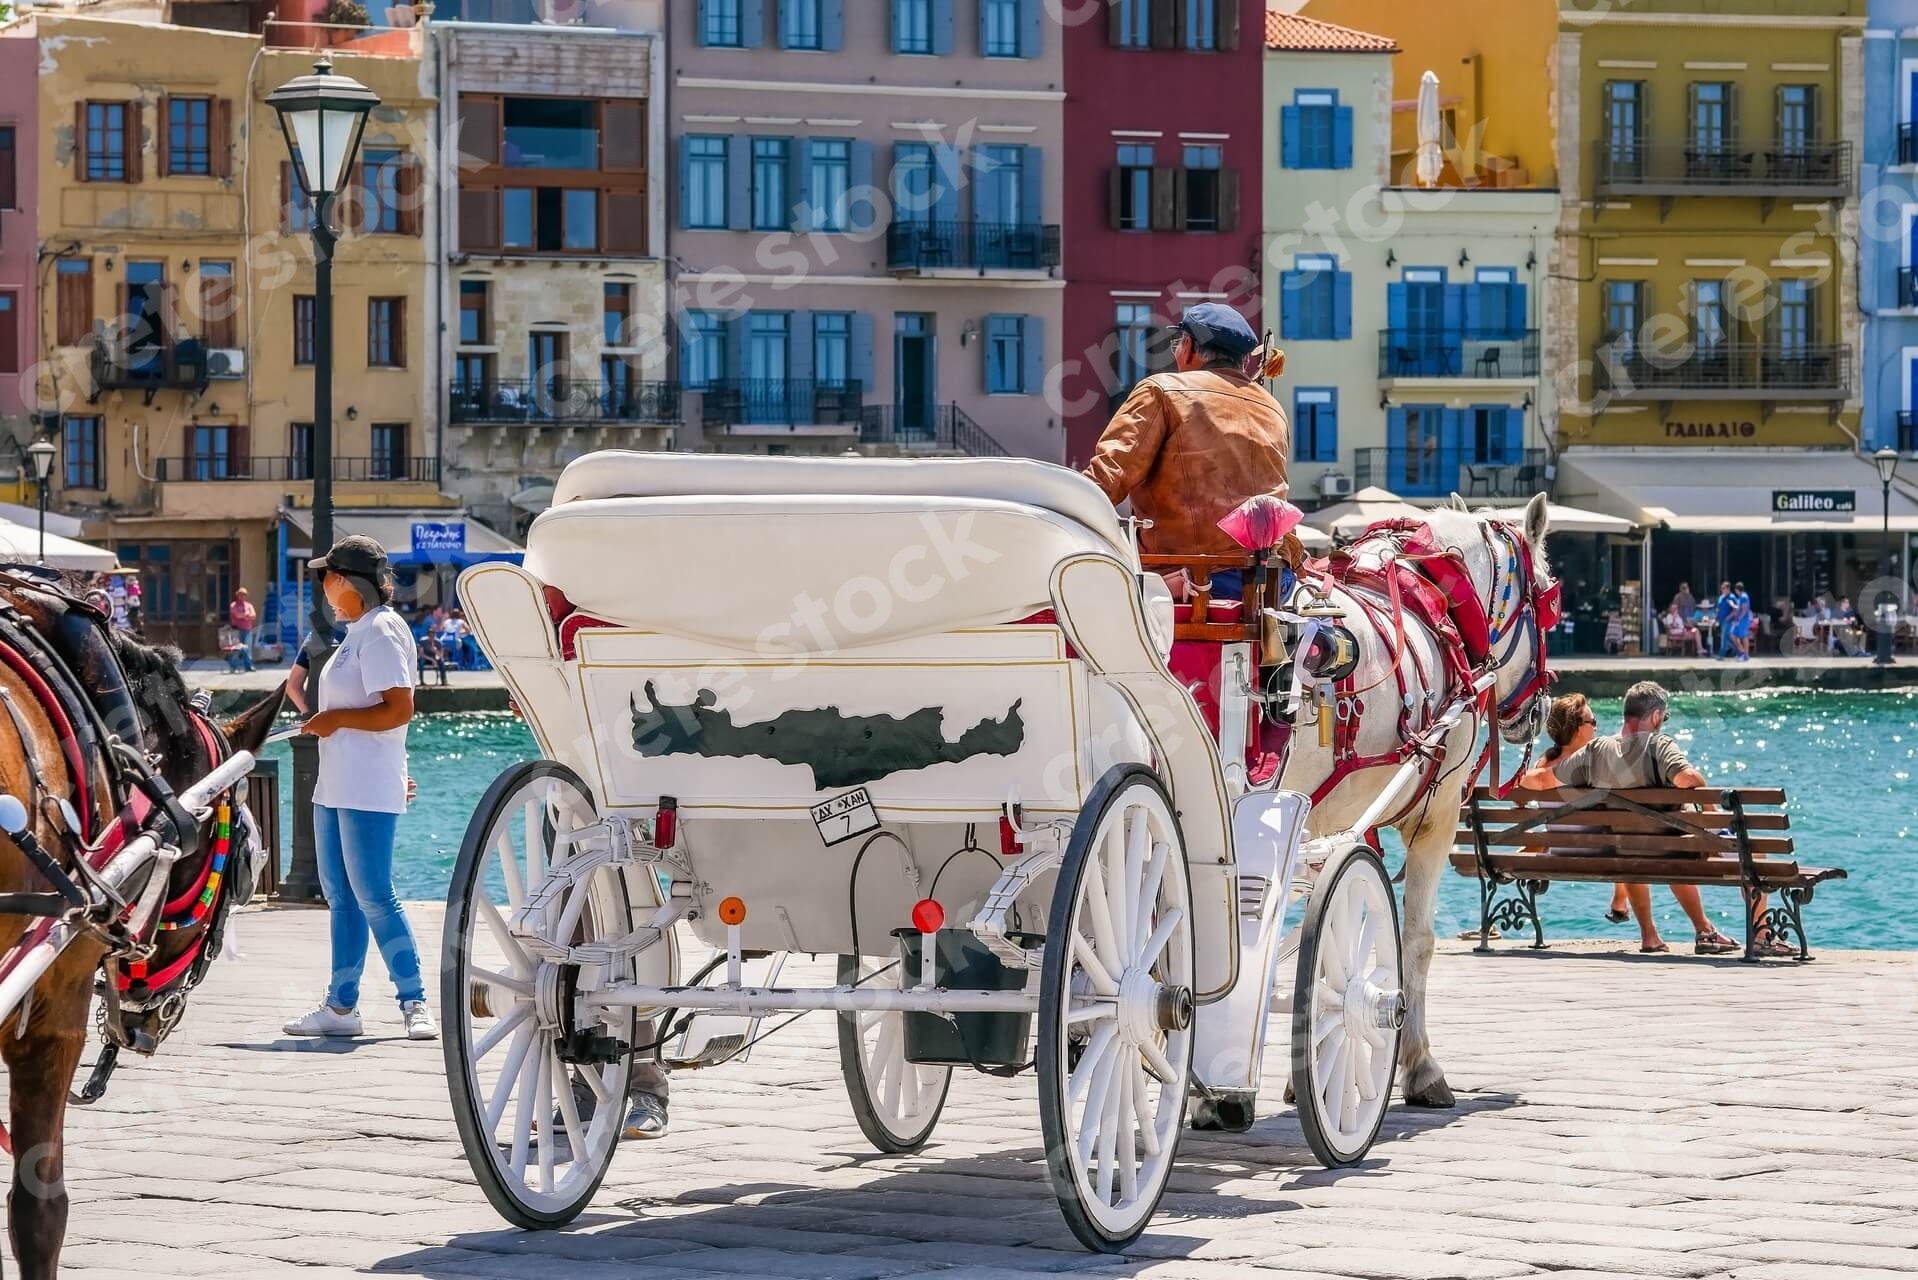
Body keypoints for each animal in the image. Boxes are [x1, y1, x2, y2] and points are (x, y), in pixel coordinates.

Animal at [1281, 495, 1549, 1113]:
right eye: (1550, 598)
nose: (1538, 711)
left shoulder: (1332, 831)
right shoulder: (1435, 817)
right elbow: (1414, 941)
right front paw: (1420, 1066)